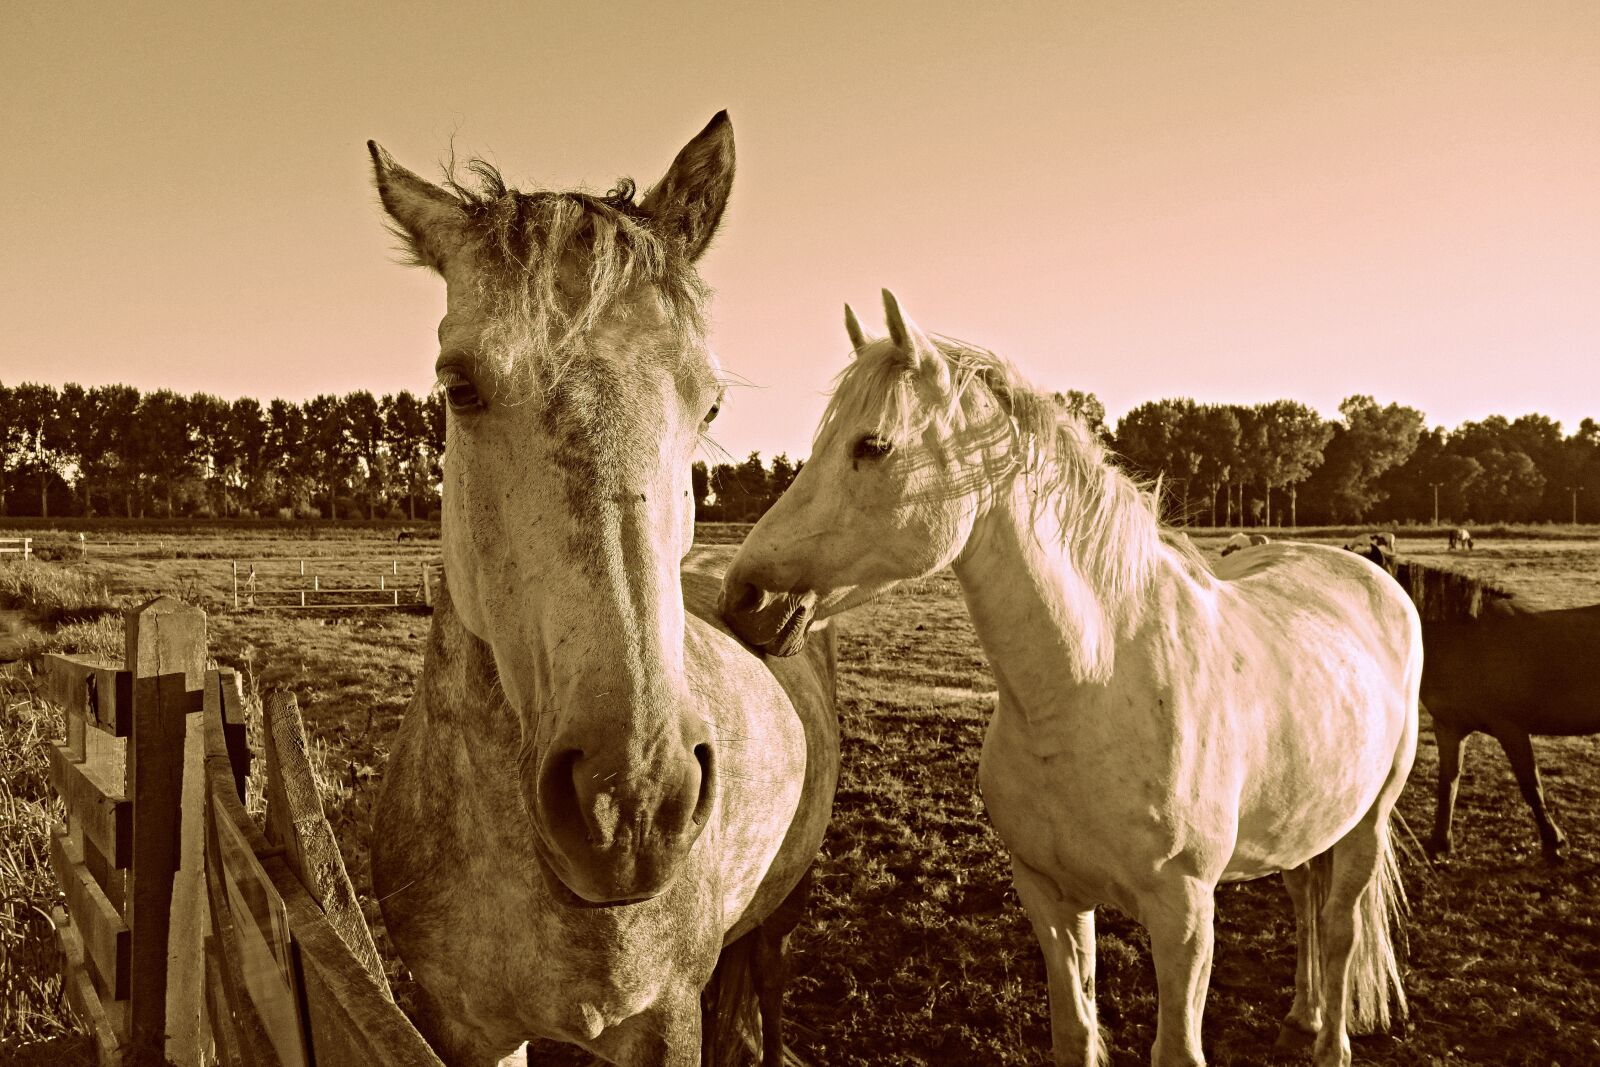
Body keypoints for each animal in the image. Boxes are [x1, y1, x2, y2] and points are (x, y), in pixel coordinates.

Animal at [366, 114, 840, 1067]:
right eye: (458, 385)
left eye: (711, 404)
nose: (631, 803)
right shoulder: (461, 1021)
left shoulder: (663, 1018)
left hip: (784, 907)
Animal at [720, 290, 1420, 1067]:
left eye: (871, 445)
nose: (742, 596)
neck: (1093, 689)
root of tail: (1366, 573)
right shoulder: (1050, 895)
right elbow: (1074, 1033)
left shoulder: (1183, 916)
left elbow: (1178, 1048)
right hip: (1307, 818)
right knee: (1303, 895)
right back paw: (1300, 1017)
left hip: (1368, 821)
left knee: (1340, 927)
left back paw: (1329, 1040)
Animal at [1390, 561, 1600, 863]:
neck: (1463, 638)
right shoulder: (1449, 728)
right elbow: (1447, 785)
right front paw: (1440, 844)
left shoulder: (1511, 729)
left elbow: (1531, 786)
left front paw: (1554, 842)